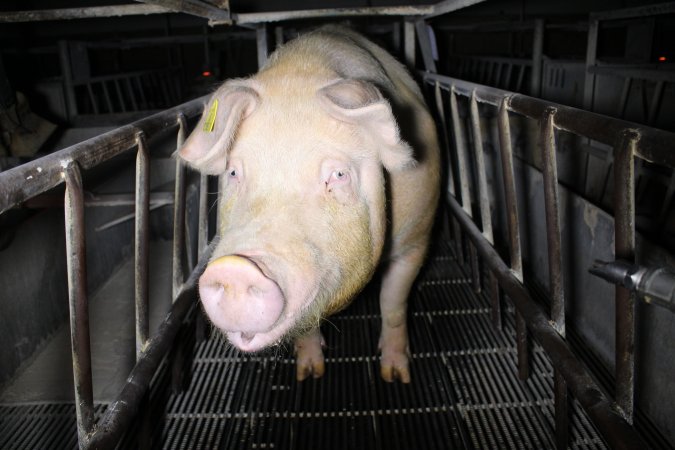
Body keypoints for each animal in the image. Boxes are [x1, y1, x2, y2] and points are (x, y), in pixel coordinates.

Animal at [180, 25, 440, 384]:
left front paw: (395, 376)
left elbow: (393, 302)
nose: (235, 269)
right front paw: (310, 374)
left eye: (339, 174)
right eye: (234, 171)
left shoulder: (418, 237)